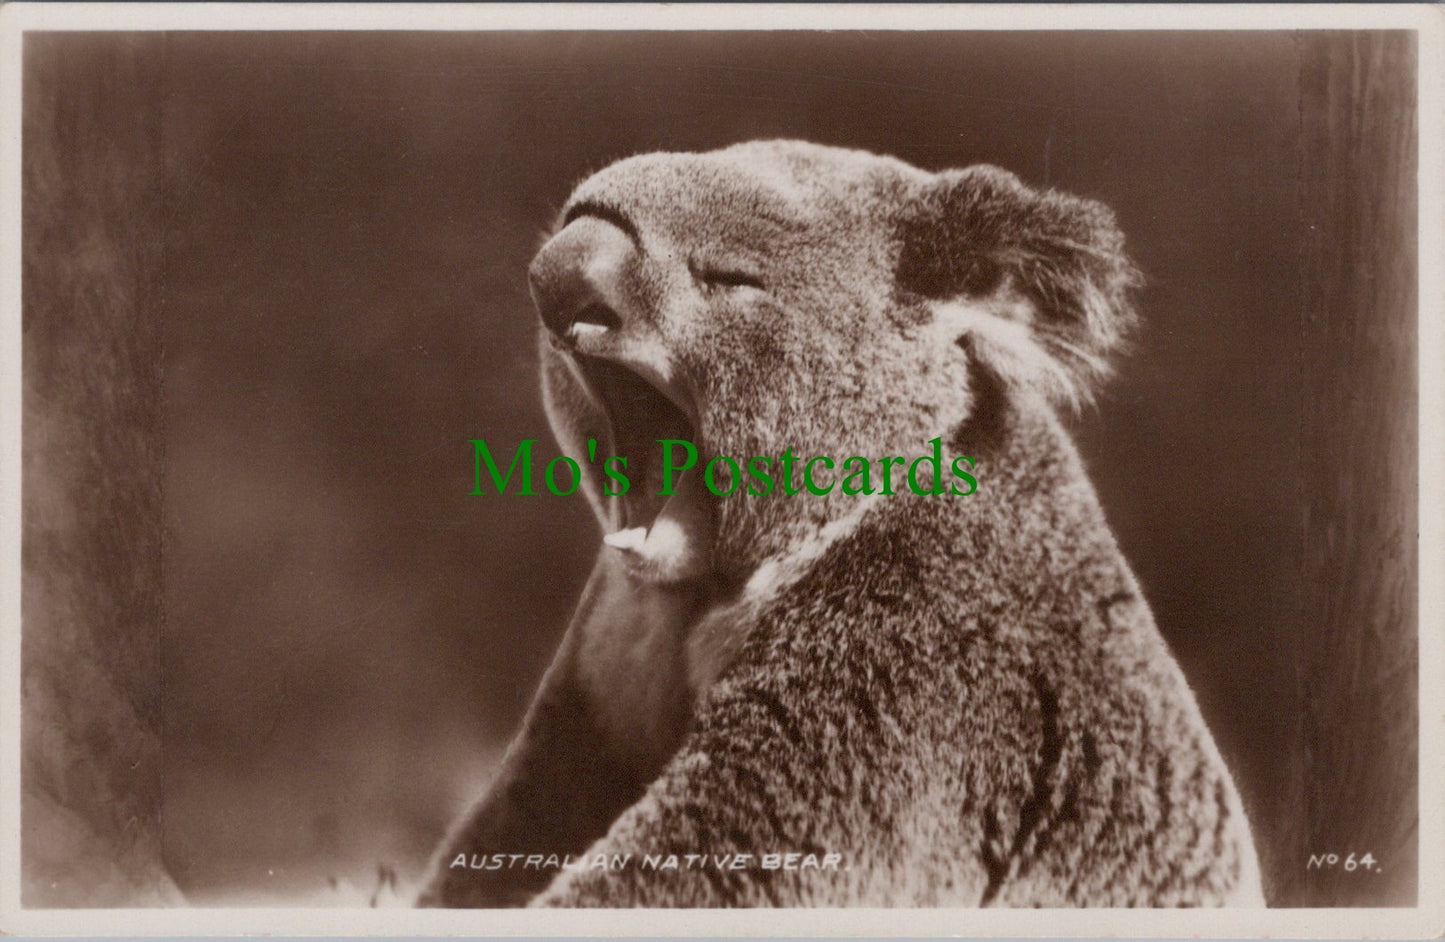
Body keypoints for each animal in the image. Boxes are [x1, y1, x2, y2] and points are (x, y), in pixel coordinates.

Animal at [417, 140, 1264, 907]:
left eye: (727, 278)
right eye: (569, 221)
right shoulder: (610, 648)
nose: (558, 284)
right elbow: (530, 808)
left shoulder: (911, 663)